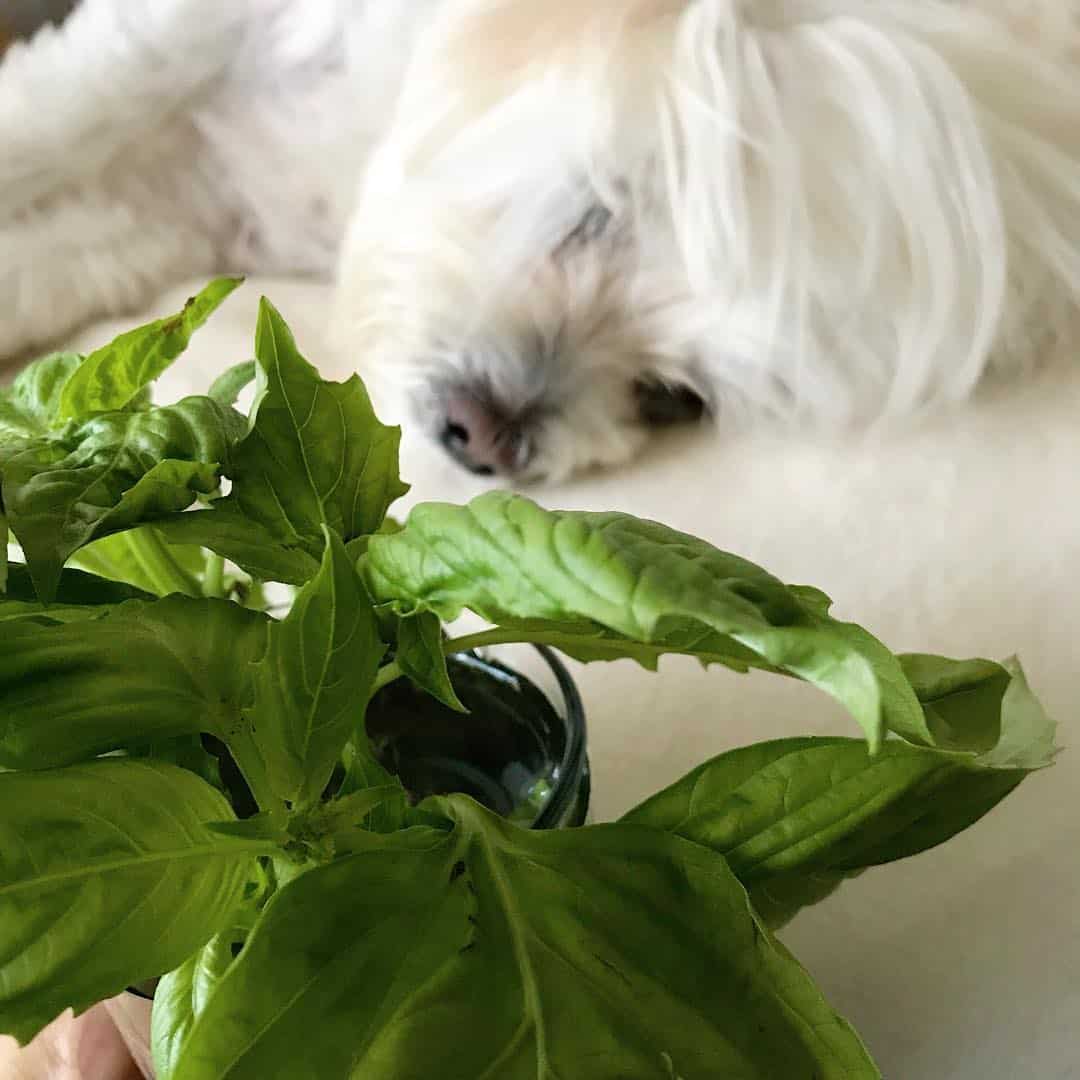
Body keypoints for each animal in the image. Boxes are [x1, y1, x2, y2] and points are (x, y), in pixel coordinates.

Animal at [2, 0, 1080, 481]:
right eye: (598, 212)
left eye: (673, 397)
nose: (485, 437)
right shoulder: (200, 28)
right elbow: (64, 109)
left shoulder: (201, 201)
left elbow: (74, 246)